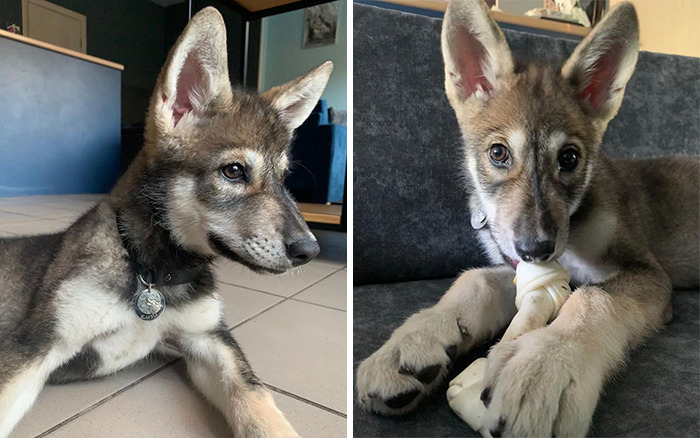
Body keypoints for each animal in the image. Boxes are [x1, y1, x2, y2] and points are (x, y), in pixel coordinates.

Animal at [0, 8, 333, 437]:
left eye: (284, 178)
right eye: (234, 171)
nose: (309, 249)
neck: (152, 272)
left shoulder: (209, 338)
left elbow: (256, 397)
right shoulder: (38, 341)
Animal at [356, 0, 699, 436]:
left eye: (569, 158)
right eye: (498, 153)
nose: (537, 247)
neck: (574, 224)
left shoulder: (648, 274)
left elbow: (593, 298)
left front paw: (547, 365)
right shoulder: (523, 269)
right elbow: (476, 278)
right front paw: (413, 341)